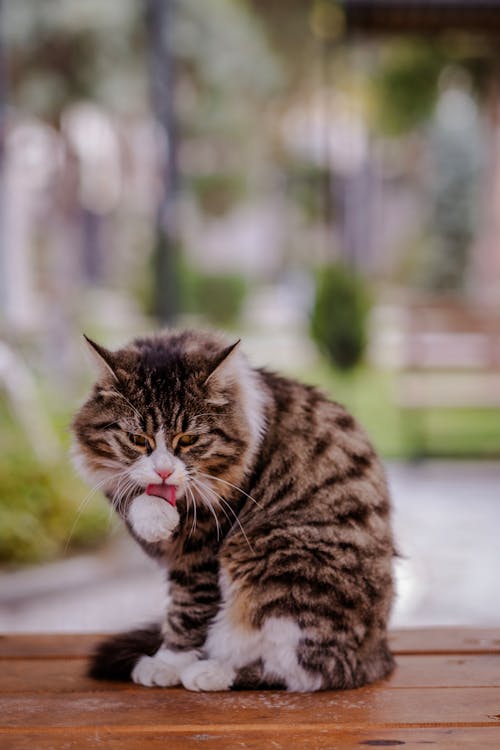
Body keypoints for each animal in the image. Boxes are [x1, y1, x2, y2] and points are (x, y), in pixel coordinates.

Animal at [72, 328, 396, 692]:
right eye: (138, 439)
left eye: (188, 440)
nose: (164, 471)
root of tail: (379, 654)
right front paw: (154, 513)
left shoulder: (200, 552)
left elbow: (187, 611)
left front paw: (168, 663)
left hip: (277, 562)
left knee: (308, 670)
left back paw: (213, 672)